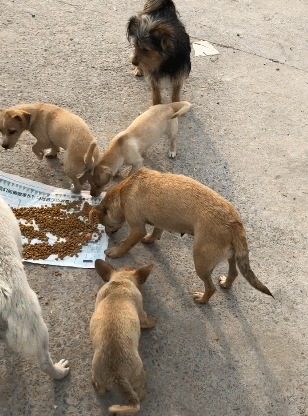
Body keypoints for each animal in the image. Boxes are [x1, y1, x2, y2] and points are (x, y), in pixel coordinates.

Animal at [90, 169, 274, 306]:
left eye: (105, 223)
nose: (108, 234)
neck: (124, 189)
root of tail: (234, 222)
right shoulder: (160, 219)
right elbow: (157, 230)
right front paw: (151, 238)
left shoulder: (136, 228)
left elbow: (127, 243)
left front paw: (115, 252)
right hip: (230, 256)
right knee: (234, 273)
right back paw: (226, 283)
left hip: (201, 262)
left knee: (211, 288)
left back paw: (202, 299)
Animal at [90, 260, 155, 412]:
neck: (120, 281)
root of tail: (118, 376)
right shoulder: (142, 315)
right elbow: (148, 321)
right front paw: (154, 320)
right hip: (139, 375)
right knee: (139, 394)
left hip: (99, 376)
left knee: (101, 390)